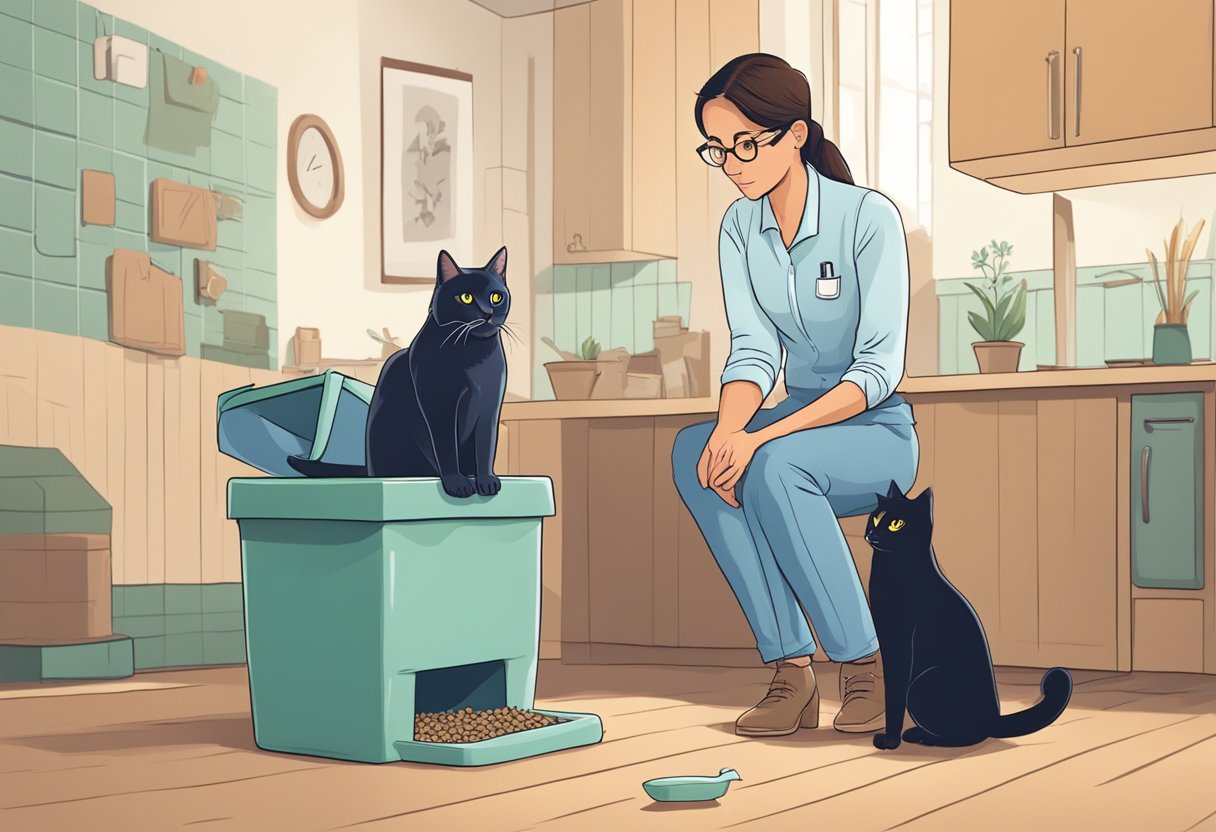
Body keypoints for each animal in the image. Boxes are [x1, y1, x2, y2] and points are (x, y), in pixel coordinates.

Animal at [286, 245, 510, 493]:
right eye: (466, 297)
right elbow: (446, 447)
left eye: (496, 297)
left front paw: (487, 480)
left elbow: (485, 446)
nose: (488, 313)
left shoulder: (490, 407)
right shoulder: (439, 407)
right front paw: (456, 482)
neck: (474, 356)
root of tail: (368, 470)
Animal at [865, 481, 1074, 749]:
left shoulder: (899, 642)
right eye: (876, 517)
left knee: (968, 736)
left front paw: (890, 741)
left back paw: (920, 736)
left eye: (896, 524)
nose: (872, 534)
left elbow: (893, 692)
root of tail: (994, 718)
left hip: (922, 685)